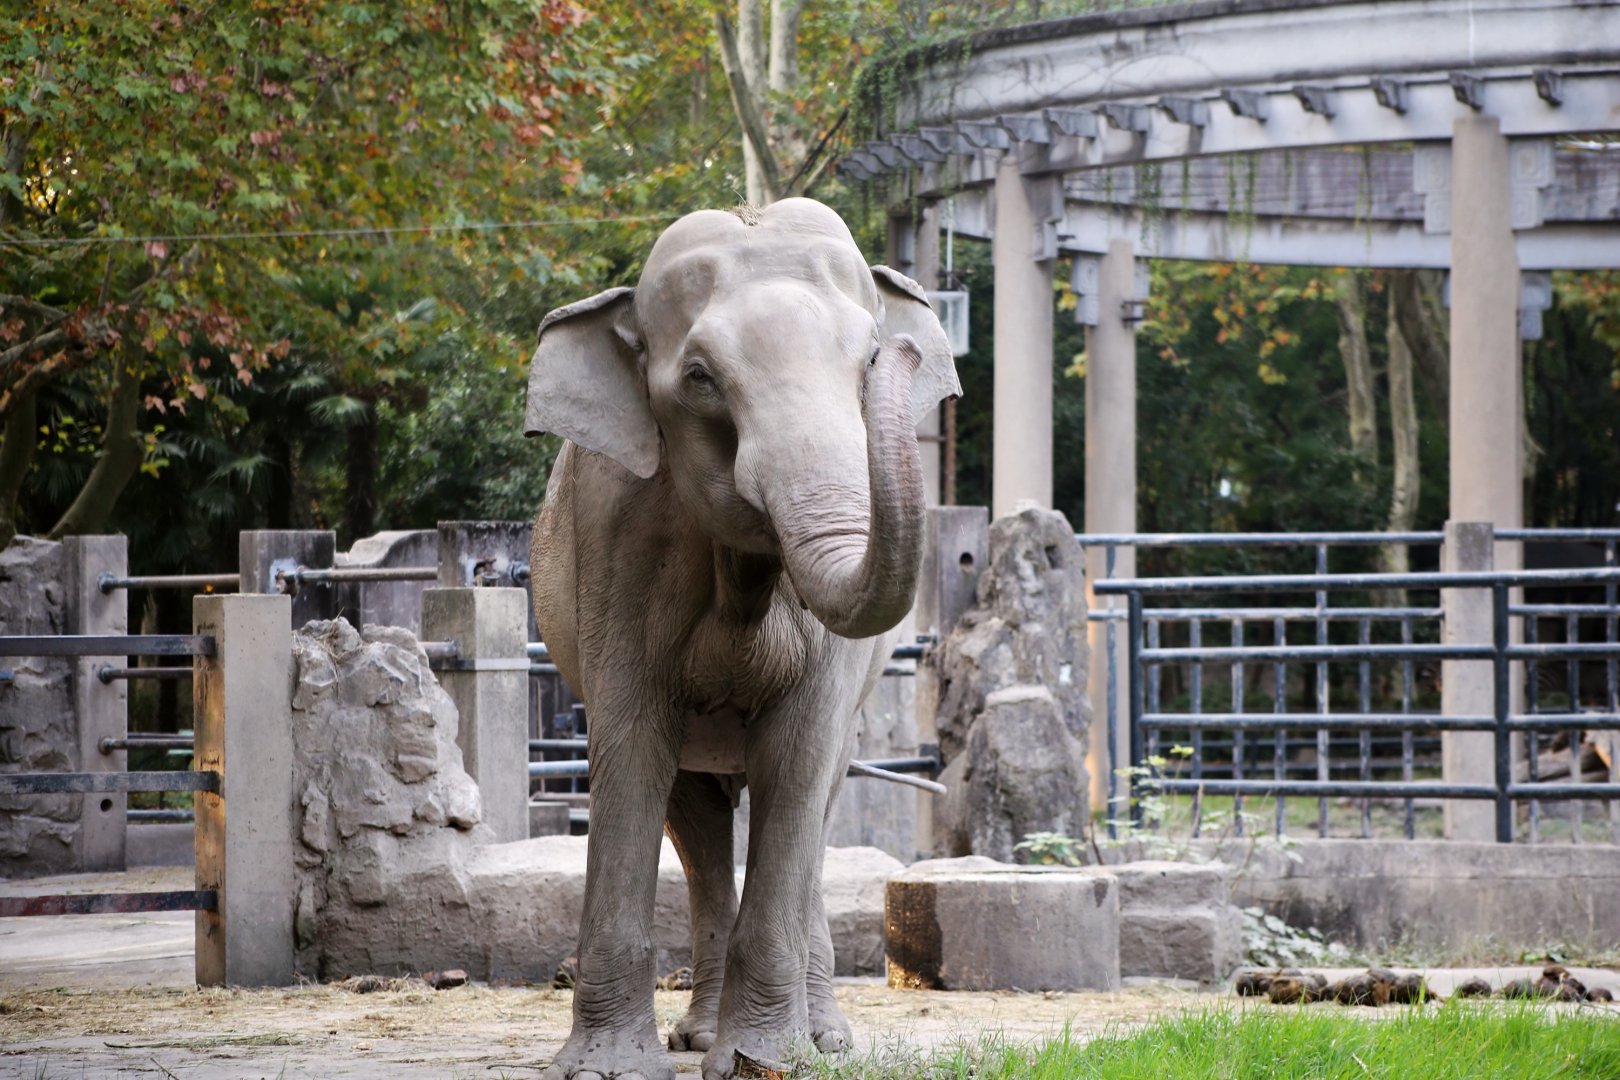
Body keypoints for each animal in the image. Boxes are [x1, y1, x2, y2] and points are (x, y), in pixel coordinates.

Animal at [524, 198, 959, 1080]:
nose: (899, 353)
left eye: (870, 358)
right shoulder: (616, 535)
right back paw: (697, 1037)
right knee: (691, 812)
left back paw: (822, 1042)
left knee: (816, 801)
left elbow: (798, 755)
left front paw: (766, 1061)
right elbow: (632, 747)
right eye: (700, 378)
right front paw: (605, 1068)